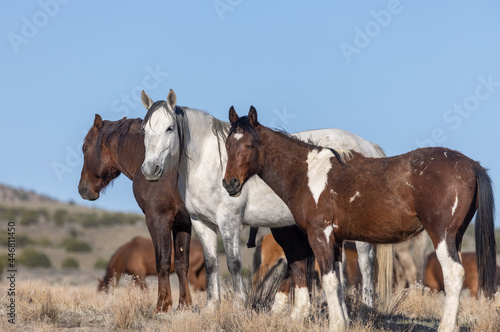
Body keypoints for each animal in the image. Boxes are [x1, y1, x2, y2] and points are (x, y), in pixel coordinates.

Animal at [78, 115, 193, 312]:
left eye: (85, 148)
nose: (82, 189)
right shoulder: (182, 223)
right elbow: (180, 263)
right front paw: (184, 305)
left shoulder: (158, 219)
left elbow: (163, 260)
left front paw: (162, 305)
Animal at [141, 90, 394, 316]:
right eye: (144, 129)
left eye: (169, 128)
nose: (150, 169)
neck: (208, 162)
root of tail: (368, 146)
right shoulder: (202, 222)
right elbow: (212, 263)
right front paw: (211, 308)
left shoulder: (229, 221)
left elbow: (233, 263)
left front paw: (239, 307)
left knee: (366, 262)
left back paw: (364, 311)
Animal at [225, 107, 498, 332]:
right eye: (227, 145)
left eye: (249, 145)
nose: (230, 183)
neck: (307, 174)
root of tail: (471, 165)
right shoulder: (335, 241)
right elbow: (338, 281)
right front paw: (343, 321)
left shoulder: (319, 235)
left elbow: (329, 280)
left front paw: (336, 324)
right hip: (456, 238)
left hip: (441, 236)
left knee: (453, 274)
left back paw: (446, 326)